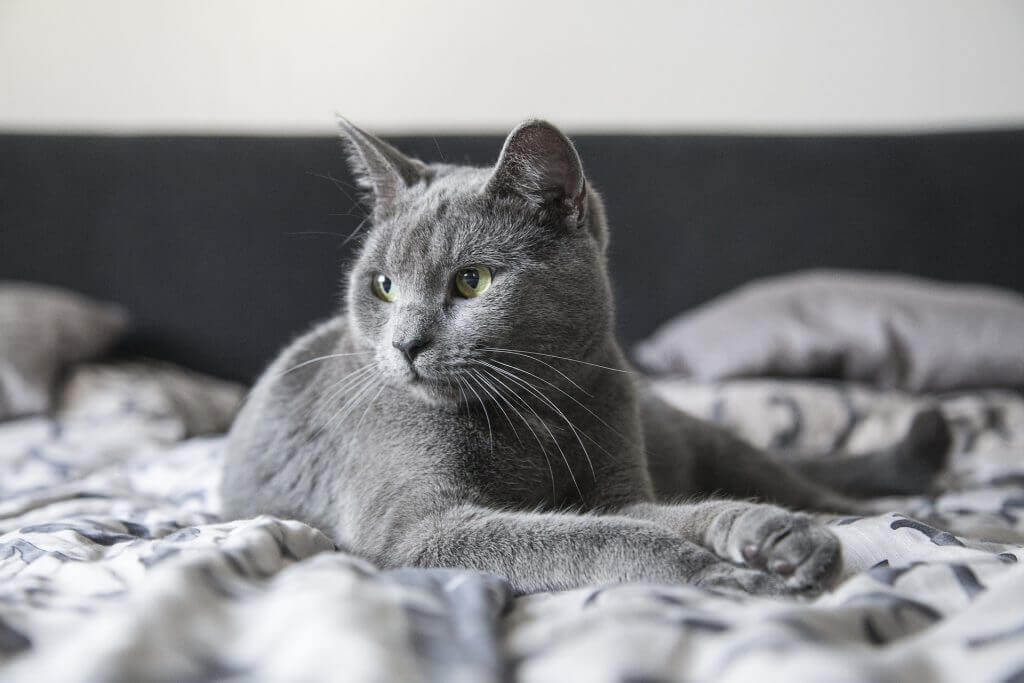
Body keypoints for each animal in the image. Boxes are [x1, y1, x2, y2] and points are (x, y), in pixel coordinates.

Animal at [220, 120, 946, 593]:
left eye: (471, 281)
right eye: (383, 286)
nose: (404, 344)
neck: (536, 414)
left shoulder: (618, 486)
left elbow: (678, 512)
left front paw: (777, 538)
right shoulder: (414, 528)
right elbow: (601, 535)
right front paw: (720, 573)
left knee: (808, 481)